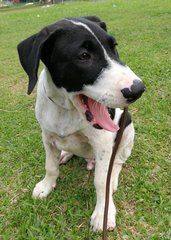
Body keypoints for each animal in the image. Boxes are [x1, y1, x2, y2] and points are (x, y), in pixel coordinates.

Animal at [17, 16, 145, 231]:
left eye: (114, 47)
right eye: (84, 56)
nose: (138, 89)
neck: (66, 110)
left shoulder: (103, 142)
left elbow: (101, 181)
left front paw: (103, 212)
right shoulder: (47, 136)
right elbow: (50, 166)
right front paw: (46, 186)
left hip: (127, 129)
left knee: (118, 161)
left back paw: (113, 178)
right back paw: (65, 154)